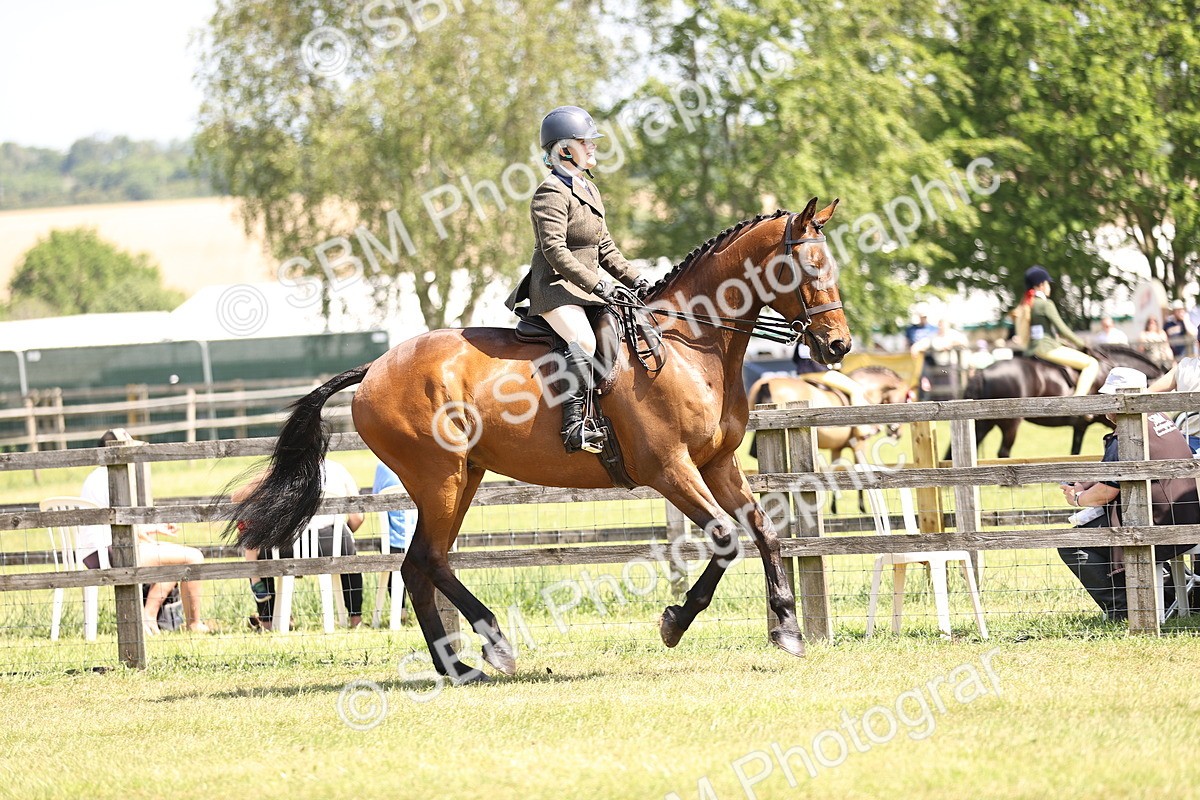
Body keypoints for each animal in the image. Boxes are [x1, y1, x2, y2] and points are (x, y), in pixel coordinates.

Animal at [230, 198, 852, 682]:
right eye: (806, 266)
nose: (839, 346)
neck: (689, 345)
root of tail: (374, 368)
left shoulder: (718, 463)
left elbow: (765, 532)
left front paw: (787, 627)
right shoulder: (669, 468)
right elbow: (725, 537)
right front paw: (675, 623)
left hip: (463, 478)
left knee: (425, 564)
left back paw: (465, 662)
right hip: (440, 478)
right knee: (423, 562)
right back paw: (486, 651)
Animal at [963, 344, 1166, 458]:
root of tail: (983, 372)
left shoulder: (1081, 427)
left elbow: (1075, 451)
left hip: (984, 423)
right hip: (1010, 423)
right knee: (1003, 452)